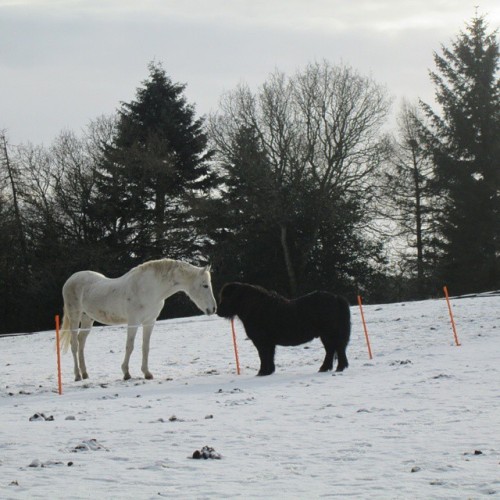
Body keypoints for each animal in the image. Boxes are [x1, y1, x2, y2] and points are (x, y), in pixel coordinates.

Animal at [59, 260, 216, 380]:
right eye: (205, 285)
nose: (213, 309)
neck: (150, 289)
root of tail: (70, 280)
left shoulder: (149, 322)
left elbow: (145, 347)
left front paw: (147, 373)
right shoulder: (133, 322)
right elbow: (130, 346)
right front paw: (126, 373)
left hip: (87, 319)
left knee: (81, 342)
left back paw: (85, 373)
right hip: (75, 316)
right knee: (74, 344)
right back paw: (77, 375)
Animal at [217, 282, 350, 376]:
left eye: (227, 297)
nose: (218, 312)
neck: (256, 309)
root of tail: (336, 298)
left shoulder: (262, 342)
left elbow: (263, 356)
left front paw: (262, 372)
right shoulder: (269, 343)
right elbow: (269, 356)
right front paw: (269, 371)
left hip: (331, 334)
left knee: (337, 348)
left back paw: (339, 368)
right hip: (326, 336)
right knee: (331, 350)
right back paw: (324, 368)